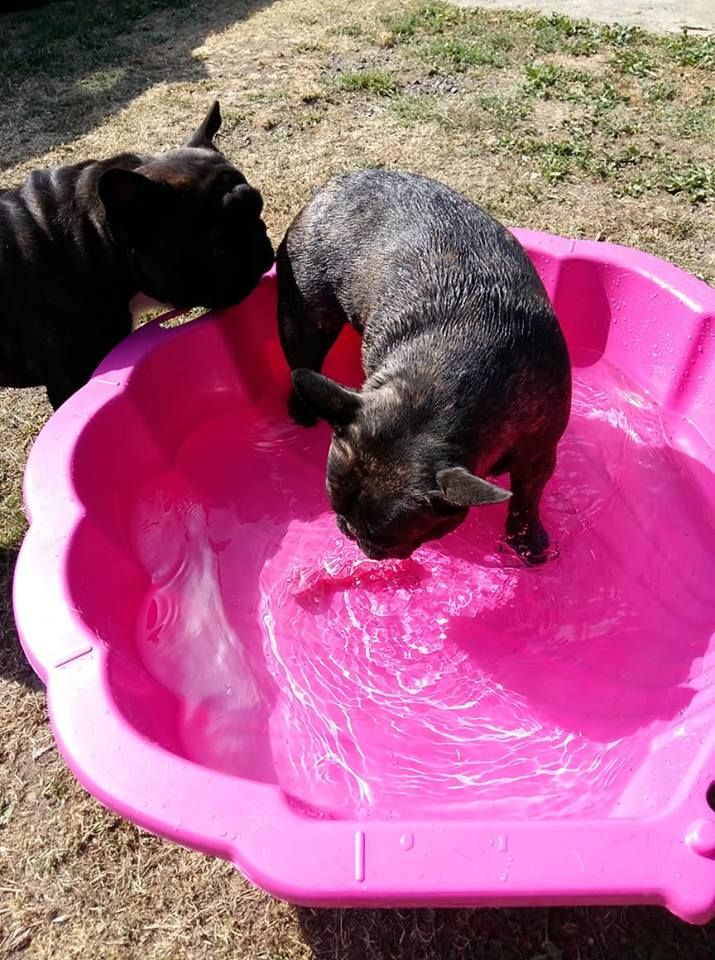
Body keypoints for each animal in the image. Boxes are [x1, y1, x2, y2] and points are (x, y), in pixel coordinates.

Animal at [276, 171, 572, 564]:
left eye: (383, 536)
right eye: (336, 509)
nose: (349, 532)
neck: (441, 390)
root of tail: (338, 182)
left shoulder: (538, 452)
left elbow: (527, 497)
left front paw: (526, 541)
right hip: (305, 315)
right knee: (302, 357)